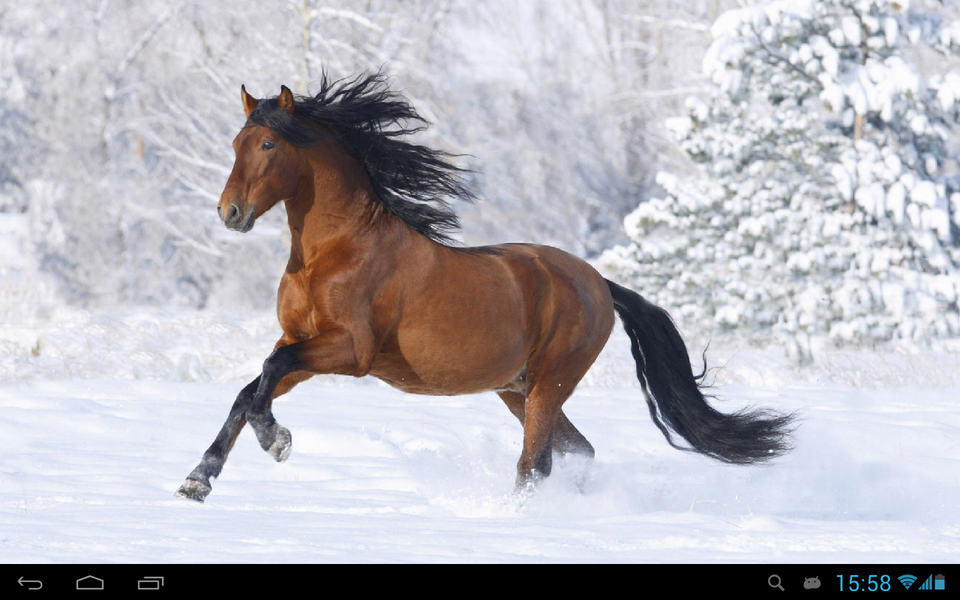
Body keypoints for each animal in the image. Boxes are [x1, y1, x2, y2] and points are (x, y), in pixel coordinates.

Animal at [176, 72, 794, 503]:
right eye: (235, 143)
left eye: (268, 146)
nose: (230, 213)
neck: (335, 252)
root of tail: (597, 281)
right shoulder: (300, 343)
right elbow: (250, 389)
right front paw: (198, 480)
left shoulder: (349, 351)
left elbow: (265, 377)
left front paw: (276, 442)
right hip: (516, 390)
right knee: (577, 450)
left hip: (548, 385)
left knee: (535, 463)